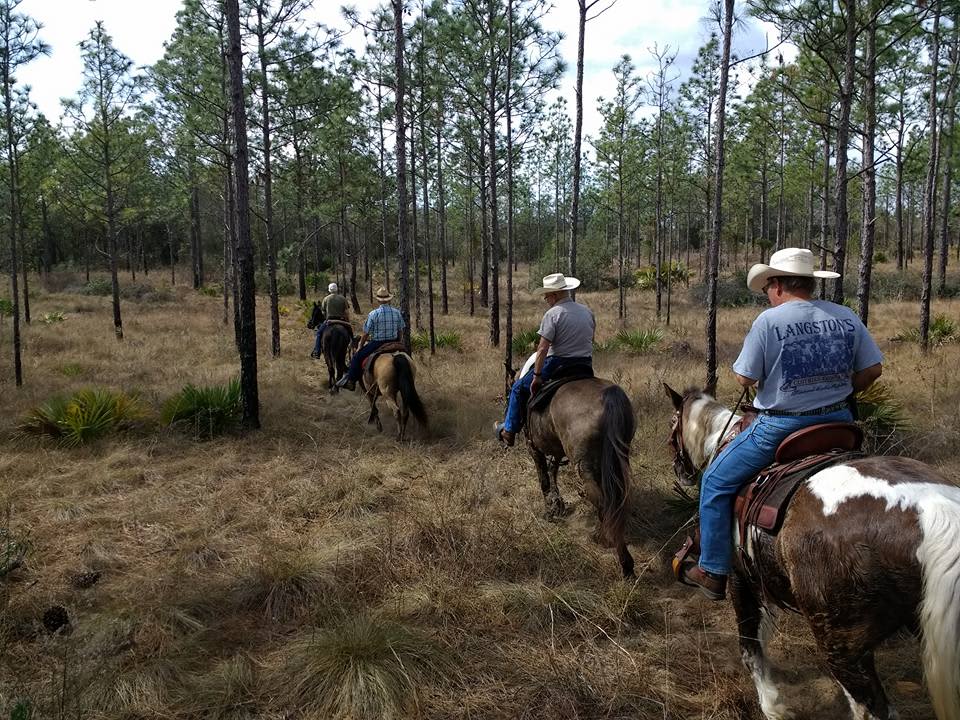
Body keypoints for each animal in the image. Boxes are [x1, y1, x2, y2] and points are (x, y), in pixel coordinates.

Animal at [524, 374, 636, 576]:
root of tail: (609, 396)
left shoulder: (533, 448)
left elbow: (544, 479)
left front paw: (550, 510)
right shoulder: (557, 451)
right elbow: (553, 471)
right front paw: (558, 505)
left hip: (585, 467)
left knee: (603, 503)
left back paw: (614, 550)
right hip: (618, 457)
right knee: (616, 501)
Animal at [664, 386, 960, 720]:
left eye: (672, 428)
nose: (680, 471)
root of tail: (935, 509)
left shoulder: (740, 578)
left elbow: (750, 646)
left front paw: (772, 705)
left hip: (841, 646)